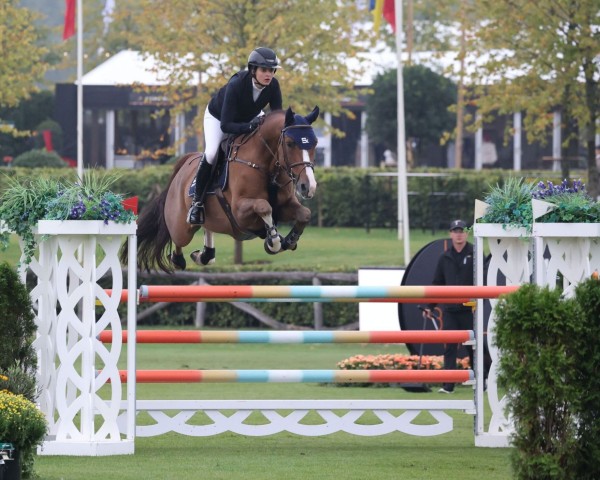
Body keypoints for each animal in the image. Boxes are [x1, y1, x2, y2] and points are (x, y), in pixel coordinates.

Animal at [120, 105, 318, 274]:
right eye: (290, 143)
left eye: (314, 143)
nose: (308, 187)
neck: (266, 165)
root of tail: (183, 165)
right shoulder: (240, 211)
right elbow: (264, 206)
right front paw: (274, 242)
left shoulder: (284, 205)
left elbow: (305, 213)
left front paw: (289, 240)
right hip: (181, 227)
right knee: (178, 238)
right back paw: (178, 259)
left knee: (206, 228)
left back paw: (204, 255)